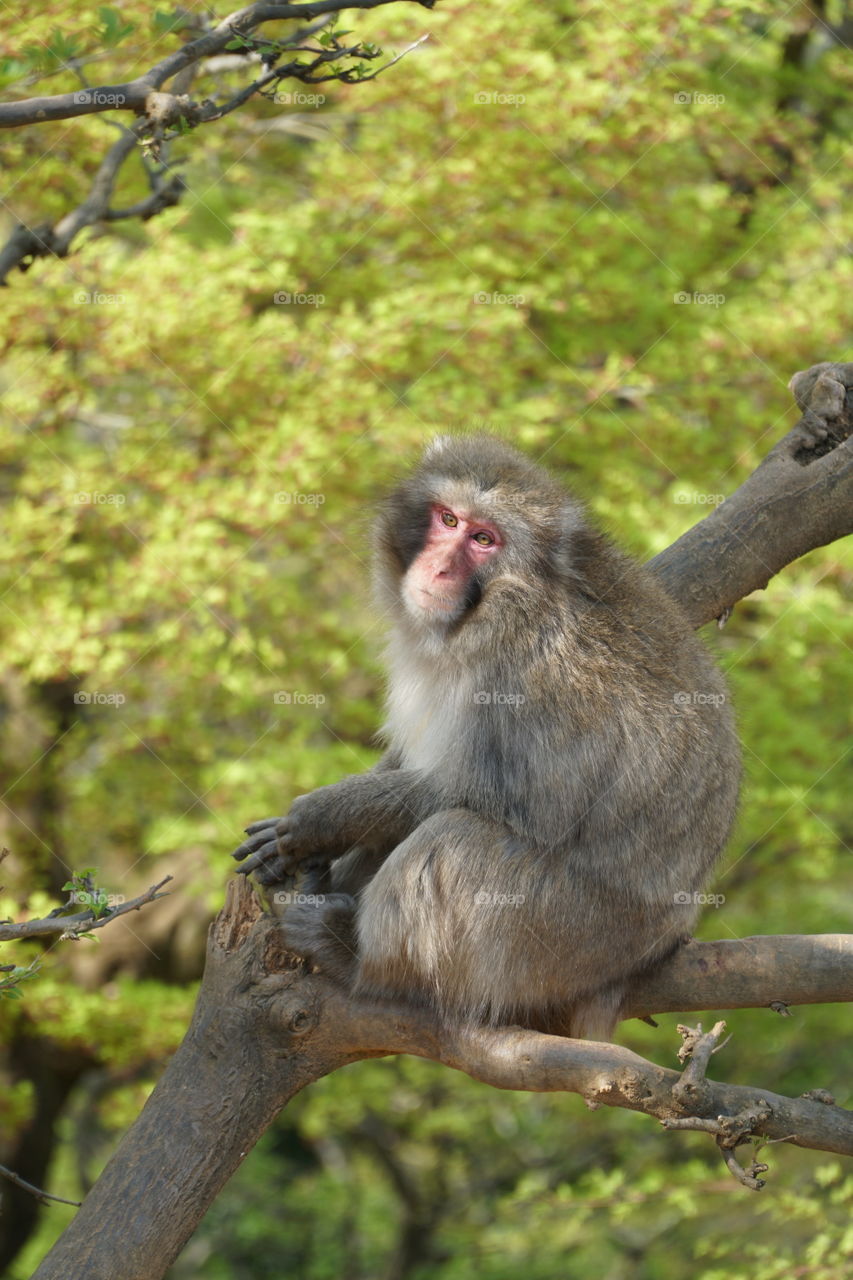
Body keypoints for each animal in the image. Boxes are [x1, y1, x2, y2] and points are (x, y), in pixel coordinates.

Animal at [233, 437, 737, 1039]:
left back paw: (358, 961)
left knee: (451, 838)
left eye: (483, 539)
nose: (440, 566)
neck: (479, 614)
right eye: (448, 519)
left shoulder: (524, 667)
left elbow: (496, 799)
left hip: (570, 939)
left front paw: (326, 816)